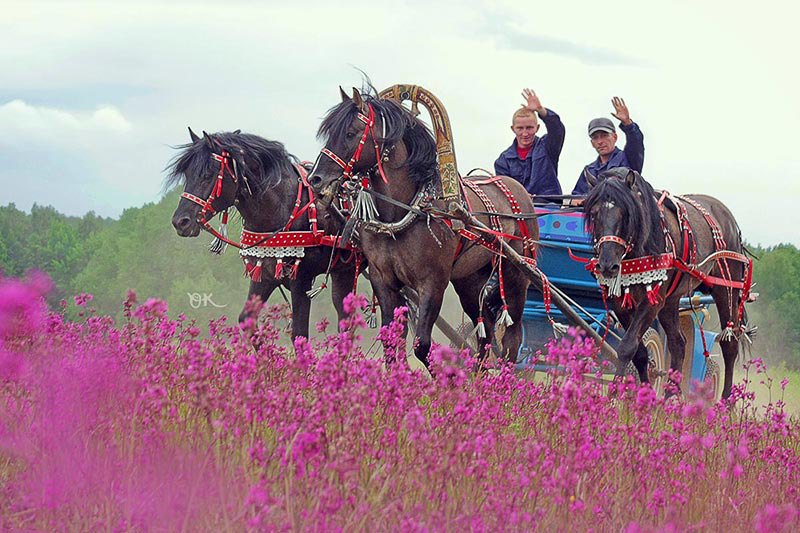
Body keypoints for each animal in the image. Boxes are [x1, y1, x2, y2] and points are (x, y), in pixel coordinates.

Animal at [166, 127, 360, 338]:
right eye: (187, 173)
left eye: (208, 173)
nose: (180, 222)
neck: (282, 208)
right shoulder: (264, 275)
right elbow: (246, 320)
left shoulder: (301, 279)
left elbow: (299, 332)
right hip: (343, 271)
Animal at [306, 87, 536, 368]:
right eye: (330, 133)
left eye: (351, 133)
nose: (315, 179)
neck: (405, 211)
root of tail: (519, 190)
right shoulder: (384, 280)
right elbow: (391, 339)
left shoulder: (432, 282)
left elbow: (421, 345)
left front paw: (445, 376)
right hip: (470, 278)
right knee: (486, 329)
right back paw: (477, 374)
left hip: (516, 273)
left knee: (512, 335)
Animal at [580, 168, 752, 396]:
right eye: (594, 214)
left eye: (627, 214)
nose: (607, 265)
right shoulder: (620, 304)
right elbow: (640, 352)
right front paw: (643, 393)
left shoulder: (652, 302)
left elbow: (627, 347)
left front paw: (614, 394)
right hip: (671, 300)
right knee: (679, 343)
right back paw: (669, 393)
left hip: (726, 289)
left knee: (729, 344)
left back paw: (726, 401)